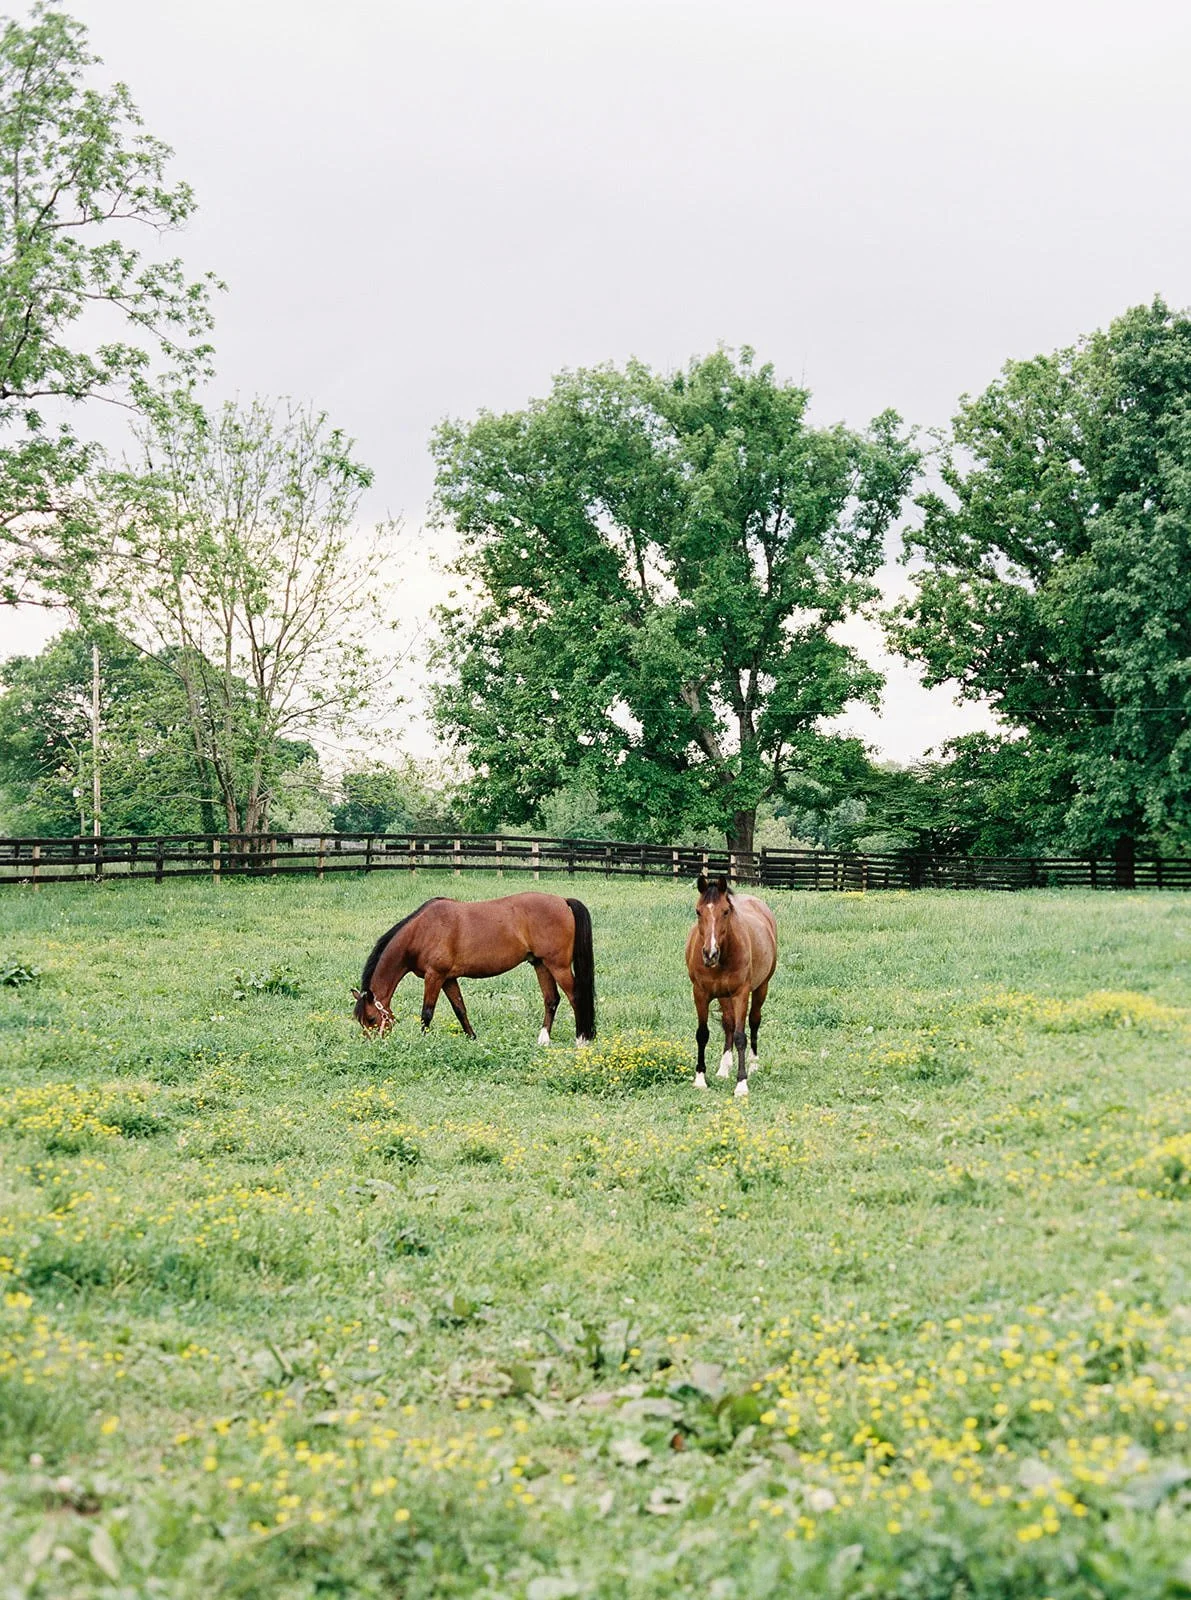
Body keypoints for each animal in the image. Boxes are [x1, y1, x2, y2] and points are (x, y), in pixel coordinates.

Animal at [352, 891, 596, 1045]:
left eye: (372, 1019)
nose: (371, 1045)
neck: (422, 931)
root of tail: (563, 901)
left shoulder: (434, 976)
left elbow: (427, 1013)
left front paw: (422, 1041)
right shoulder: (448, 979)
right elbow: (460, 1009)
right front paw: (472, 1038)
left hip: (558, 966)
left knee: (576, 997)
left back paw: (581, 1039)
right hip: (541, 964)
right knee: (551, 999)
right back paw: (543, 1039)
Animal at [685, 873, 777, 1098]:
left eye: (725, 911)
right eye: (698, 911)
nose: (710, 954)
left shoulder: (740, 994)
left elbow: (740, 1036)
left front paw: (741, 1084)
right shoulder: (700, 993)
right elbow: (703, 1033)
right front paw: (700, 1079)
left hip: (761, 988)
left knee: (754, 1021)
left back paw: (754, 1064)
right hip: (723, 995)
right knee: (728, 1023)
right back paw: (724, 1068)